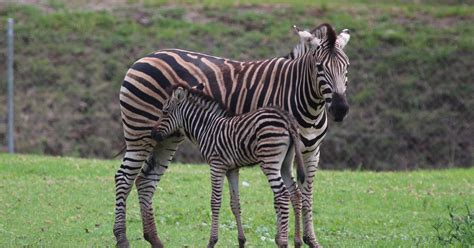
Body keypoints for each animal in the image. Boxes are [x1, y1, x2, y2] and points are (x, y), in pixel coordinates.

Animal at [152, 86, 308, 247]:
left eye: (165, 111)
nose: (152, 133)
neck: (206, 129)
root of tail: (286, 117)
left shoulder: (216, 166)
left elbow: (215, 202)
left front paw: (212, 241)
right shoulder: (232, 169)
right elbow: (235, 204)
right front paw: (241, 241)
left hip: (269, 160)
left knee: (283, 195)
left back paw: (283, 242)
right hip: (286, 163)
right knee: (295, 194)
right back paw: (297, 241)